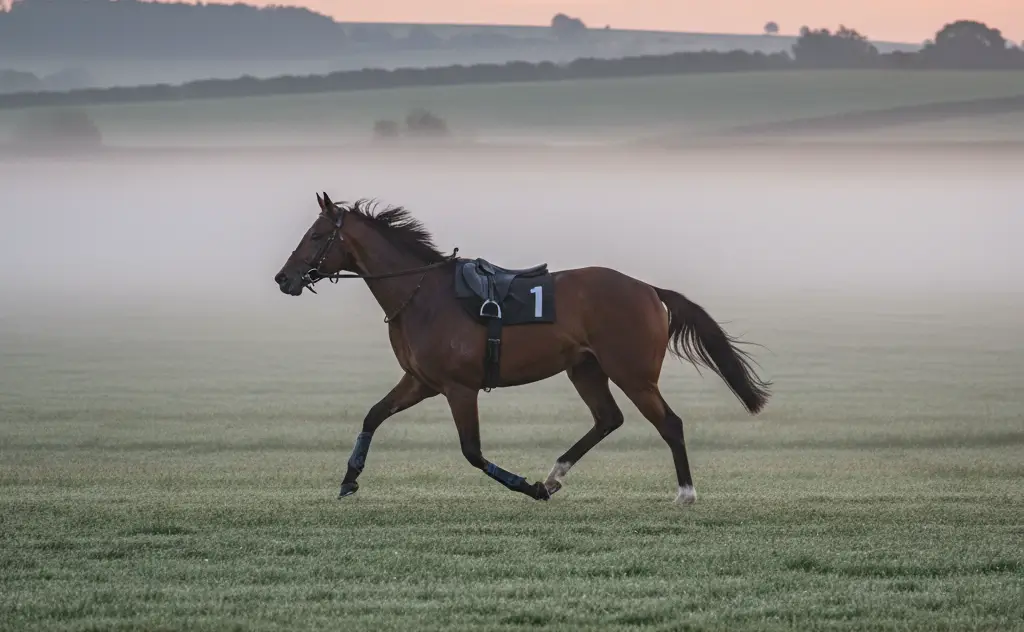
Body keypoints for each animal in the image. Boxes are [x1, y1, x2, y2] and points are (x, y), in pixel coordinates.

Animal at [274, 192, 772, 505]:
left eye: (316, 236)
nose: (283, 278)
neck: (422, 295)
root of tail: (649, 289)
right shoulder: (420, 381)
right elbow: (373, 415)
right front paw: (348, 479)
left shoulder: (459, 388)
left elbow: (472, 452)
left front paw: (526, 487)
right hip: (585, 368)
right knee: (607, 419)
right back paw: (555, 476)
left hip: (633, 373)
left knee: (669, 423)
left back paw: (685, 493)